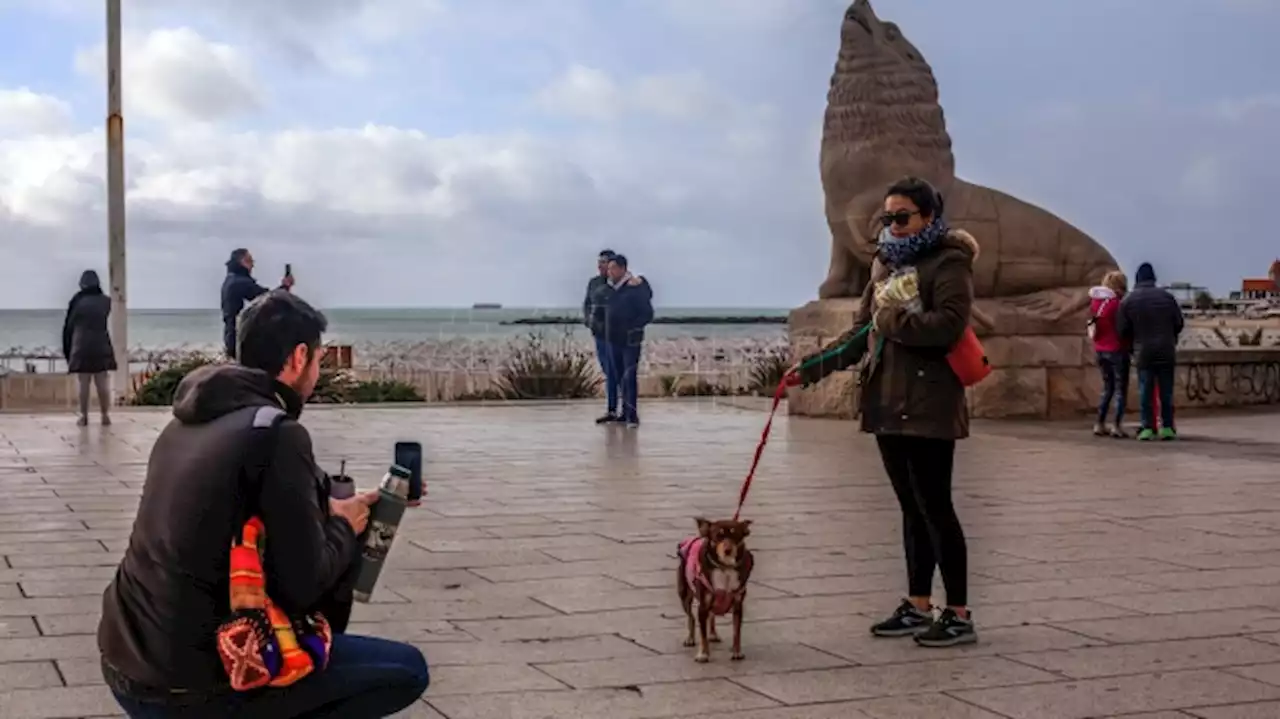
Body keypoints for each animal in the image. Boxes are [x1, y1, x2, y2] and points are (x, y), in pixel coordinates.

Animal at [675, 514, 752, 660]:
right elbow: (702, 634)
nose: (728, 550)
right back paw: (690, 638)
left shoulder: (738, 605)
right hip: (684, 595)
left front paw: (736, 652)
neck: (725, 568)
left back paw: (713, 634)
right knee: (691, 617)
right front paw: (703, 654)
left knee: (711, 616)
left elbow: (736, 631)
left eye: (735, 536)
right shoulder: (703, 606)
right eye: (718, 536)